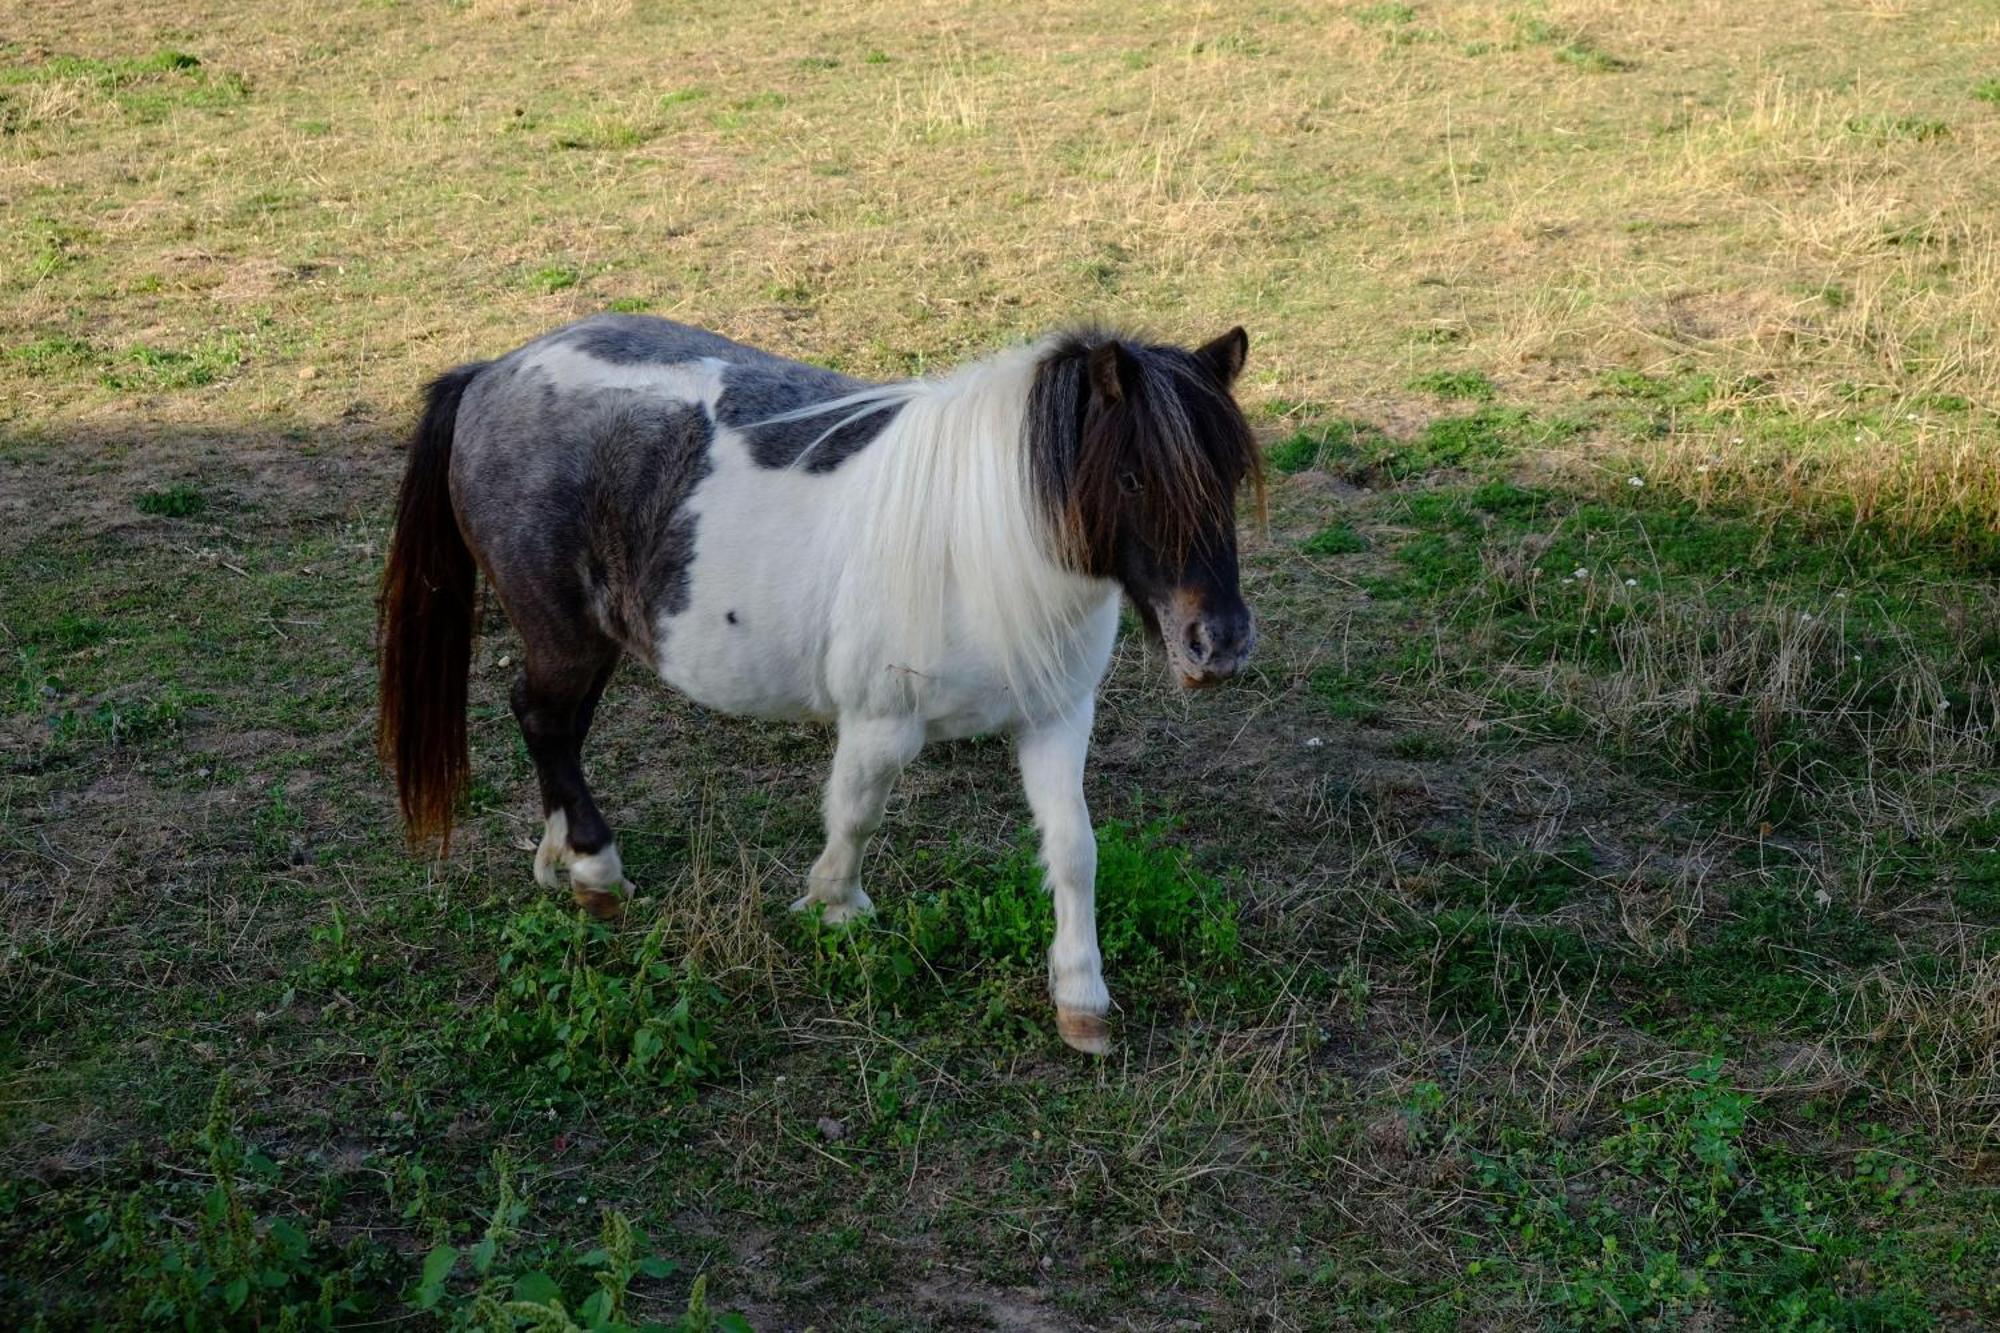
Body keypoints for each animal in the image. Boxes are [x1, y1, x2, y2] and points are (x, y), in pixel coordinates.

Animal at [380, 312, 1256, 1048]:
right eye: (1134, 478)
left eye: (1230, 478)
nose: (1219, 644)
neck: (983, 535)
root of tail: (492, 373)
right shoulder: (881, 723)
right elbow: (856, 816)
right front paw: (835, 907)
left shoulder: (1056, 718)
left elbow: (1075, 850)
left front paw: (1081, 998)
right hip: (562, 635)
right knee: (544, 719)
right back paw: (595, 868)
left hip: (592, 640)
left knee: (556, 725)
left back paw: (564, 854)